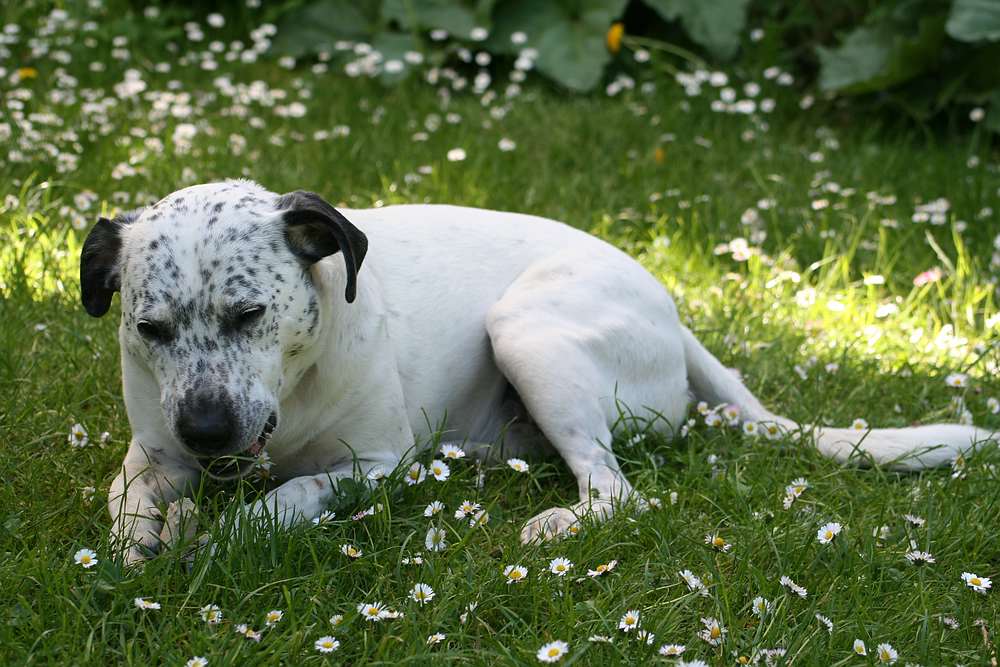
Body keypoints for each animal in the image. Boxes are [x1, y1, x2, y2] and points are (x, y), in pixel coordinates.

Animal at [84, 180, 992, 568]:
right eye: (150, 329)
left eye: (248, 314)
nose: (205, 431)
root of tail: (675, 314)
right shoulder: (153, 453)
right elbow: (123, 499)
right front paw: (140, 541)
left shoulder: (372, 464)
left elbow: (289, 495)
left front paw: (230, 531)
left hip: (528, 332)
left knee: (618, 490)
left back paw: (558, 521)